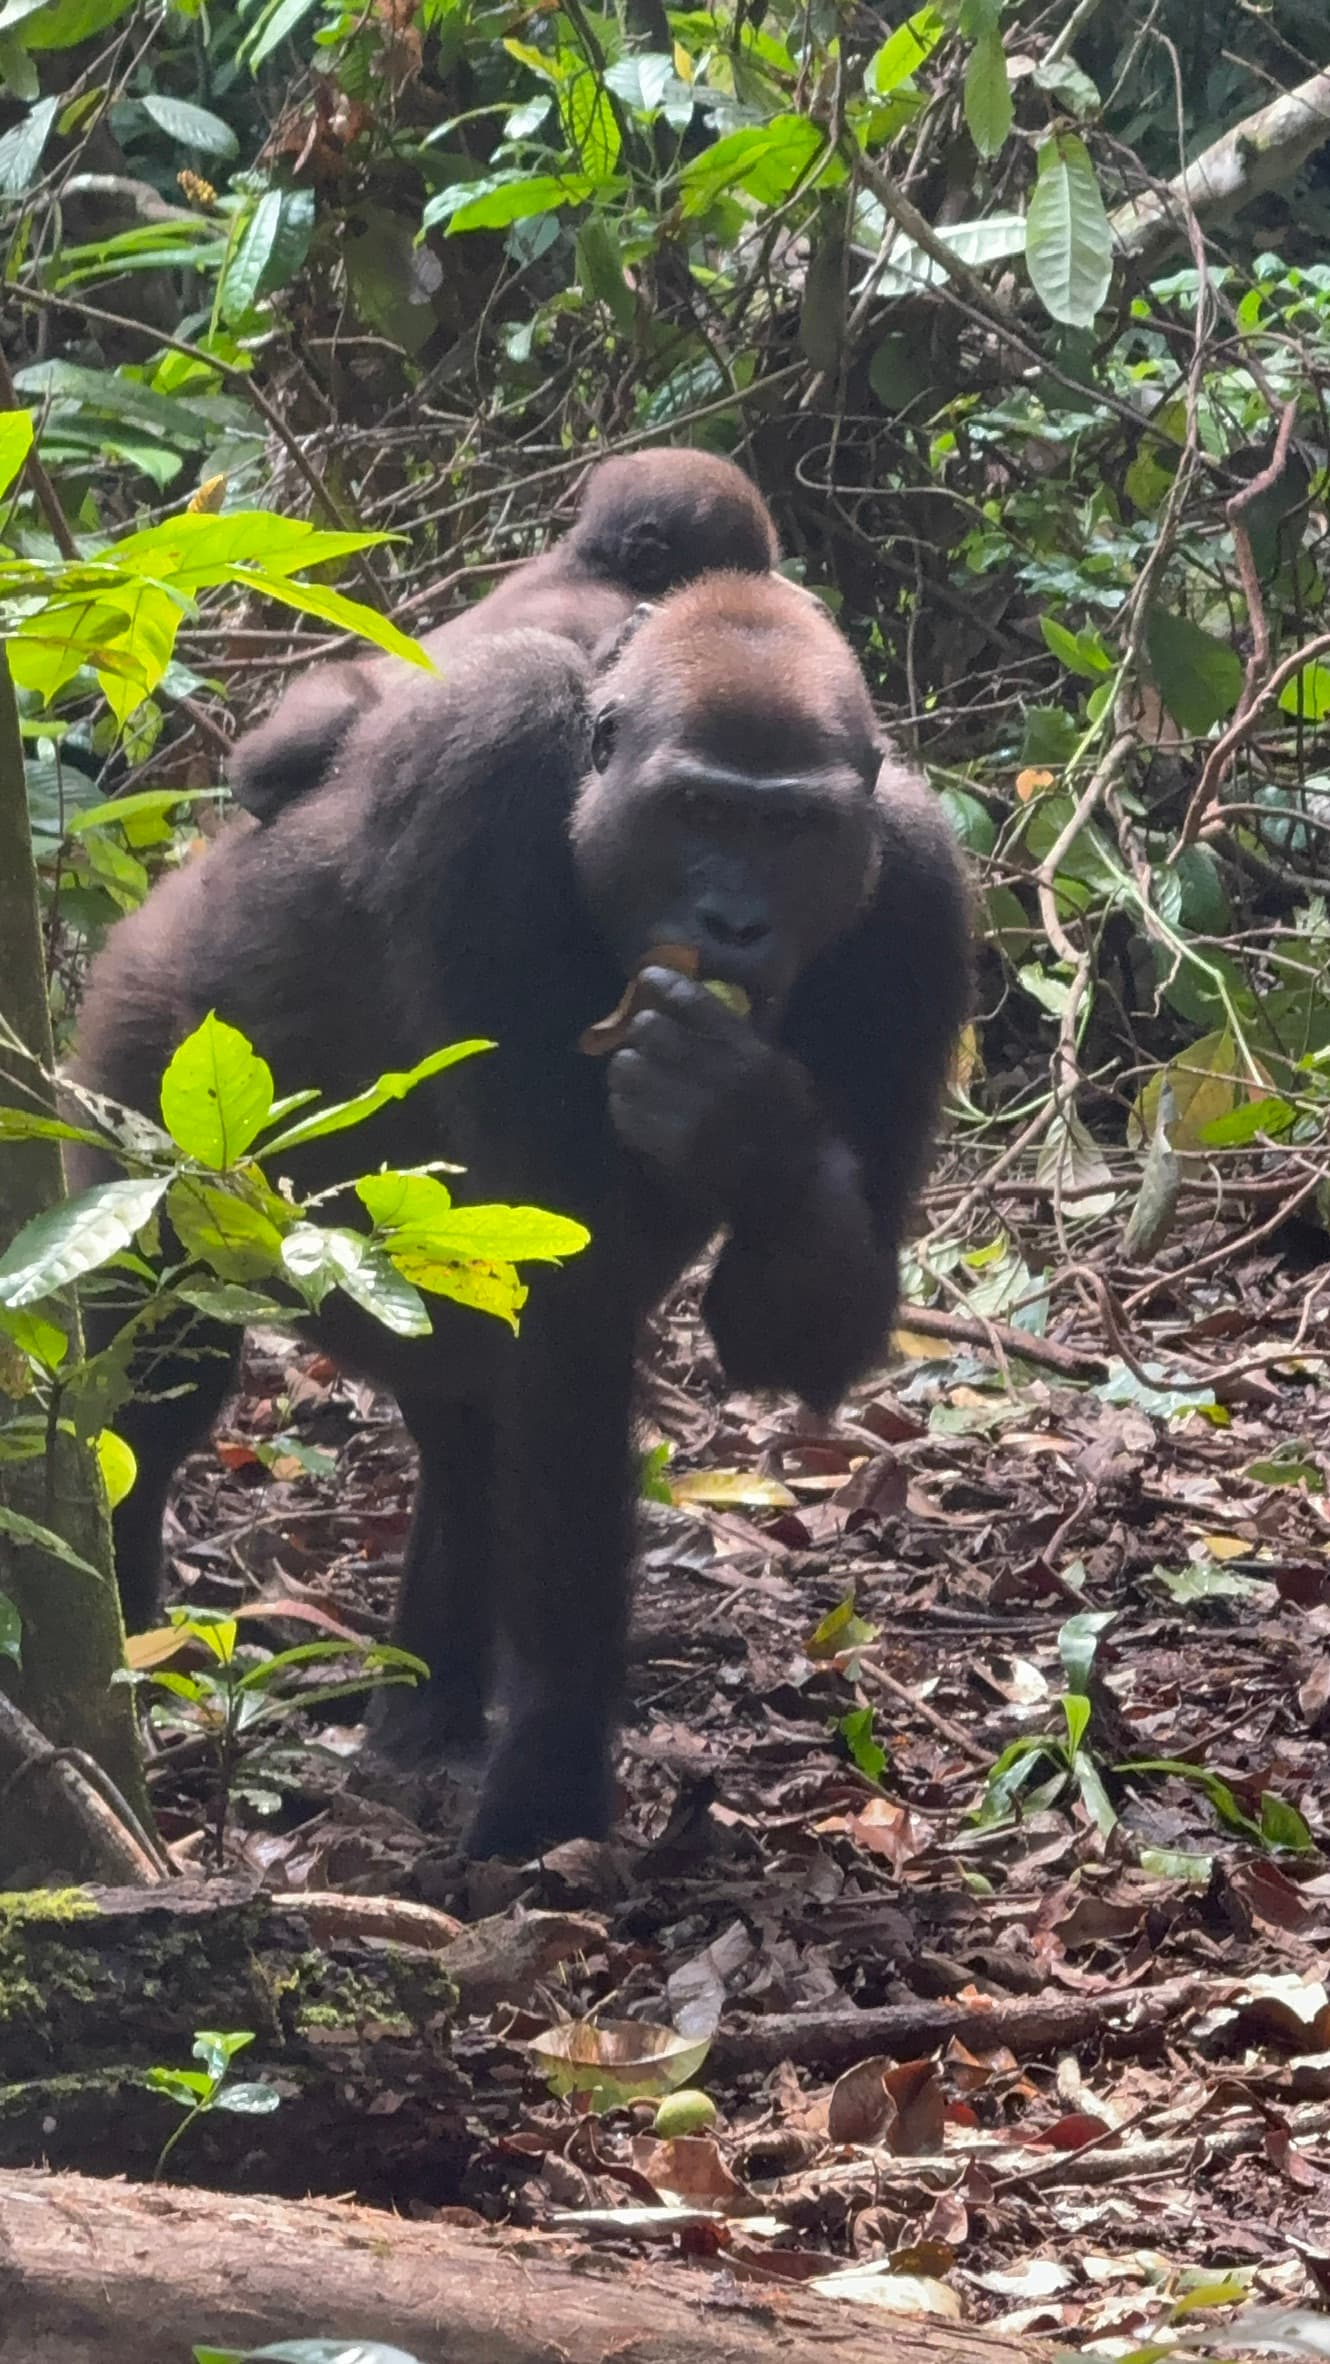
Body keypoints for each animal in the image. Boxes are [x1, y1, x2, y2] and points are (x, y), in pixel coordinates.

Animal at [69, 572, 971, 1862]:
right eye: (698, 811)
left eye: (790, 832)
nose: (735, 925)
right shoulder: (487, 770)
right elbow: (571, 1278)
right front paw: (549, 1782)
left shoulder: (923, 885)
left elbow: (783, 1332)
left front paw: (744, 1124)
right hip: (145, 1061)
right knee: (154, 1395)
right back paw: (133, 1663)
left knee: (468, 1426)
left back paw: (423, 1710)